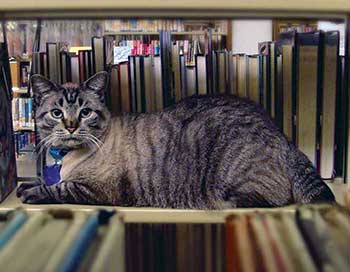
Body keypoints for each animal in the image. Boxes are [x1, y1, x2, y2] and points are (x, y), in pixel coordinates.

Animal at [15, 71, 334, 207]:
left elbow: (60, 189)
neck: (69, 157)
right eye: (57, 113)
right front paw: (30, 184)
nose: (70, 126)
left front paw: (33, 191)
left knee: (266, 202)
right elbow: (49, 182)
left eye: (84, 112)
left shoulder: (97, 190)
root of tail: (281, 134)